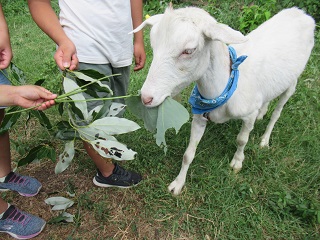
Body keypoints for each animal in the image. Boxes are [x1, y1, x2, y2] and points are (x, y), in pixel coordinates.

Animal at [132, 6, 316, 196]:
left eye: (189, 50)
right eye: (153, 45)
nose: (146, 97)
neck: (225, 88)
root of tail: (300, 13)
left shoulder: (248, 114)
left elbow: (242, 140)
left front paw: (237, 162)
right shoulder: (199, 116)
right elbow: (188, 154)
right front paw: (178, 184)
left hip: (292, 83)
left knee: (277, 112)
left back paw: (265, 140)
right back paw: (262, 113)